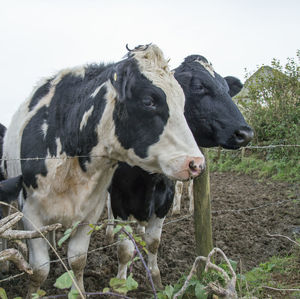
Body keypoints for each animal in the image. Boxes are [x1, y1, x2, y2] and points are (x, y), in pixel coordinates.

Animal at [0, 44, 206, 298]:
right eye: (149, 100)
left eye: (183, 102)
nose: (196, 163)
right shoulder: (30, 213)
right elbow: (39, 269)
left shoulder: (91, 212)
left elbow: (78, 260)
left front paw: (78, 290)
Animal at [106, 55, 253, 290]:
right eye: (200, 86)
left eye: (226, 87)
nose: (245, 133)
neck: (147, 178)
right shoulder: (121, 201)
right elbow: (125, 250)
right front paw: (120, 284)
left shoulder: (164, 200)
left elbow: (154, 243)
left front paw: (156, 279)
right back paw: (109, 232)